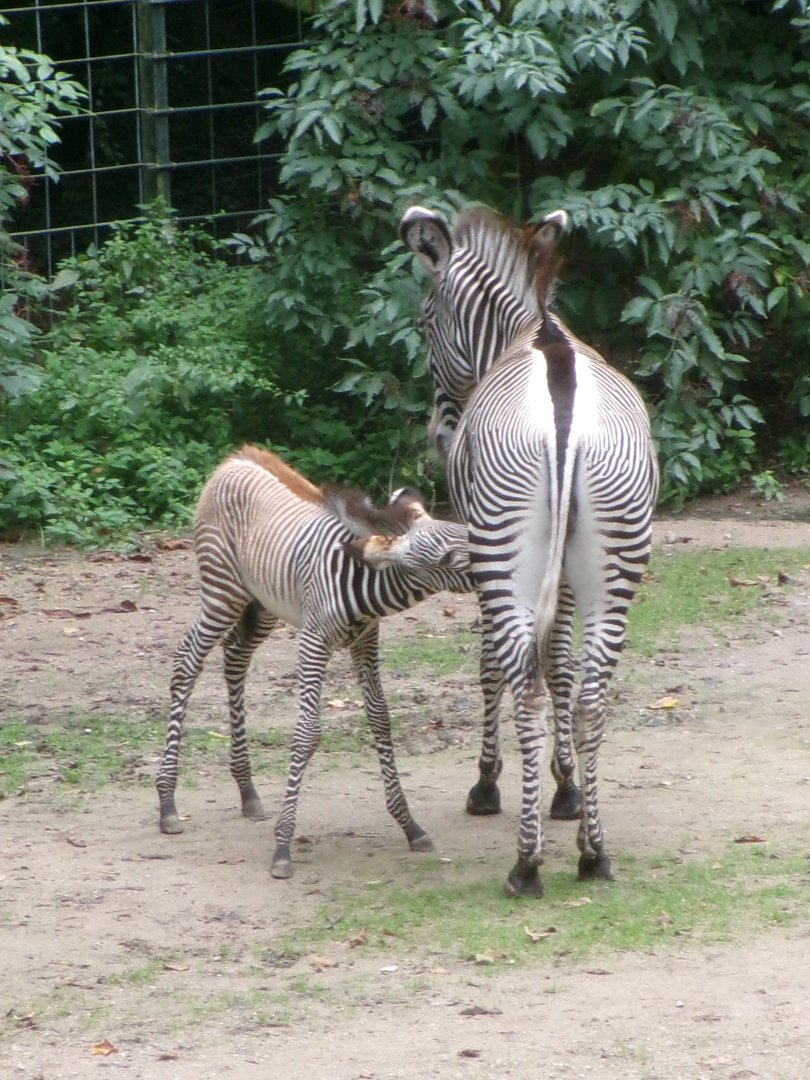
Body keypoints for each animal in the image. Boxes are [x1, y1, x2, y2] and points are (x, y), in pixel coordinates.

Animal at [156, 444, 474, 879]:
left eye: (466, 535)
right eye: (448, 556)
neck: (363, 580)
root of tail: (235, 459)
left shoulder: (366, 642)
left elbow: (380, 719)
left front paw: (410, 825)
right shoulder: (314, 640)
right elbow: (307, 732)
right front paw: (283, 845)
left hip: (263, 604)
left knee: (235, 658)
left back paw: (247, 790)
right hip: (223, 592)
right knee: (187, 661)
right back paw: (167, 802)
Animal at [399, 204, 659, 897]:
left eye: (425, 321)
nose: (439, 432)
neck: (530, 330)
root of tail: (562, 409)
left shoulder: (477, 549)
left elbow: (493, 664)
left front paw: (490, 781)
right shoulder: (563, 575)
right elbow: (562, 662)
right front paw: (567, 788)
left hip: (501, 551)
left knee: (519, 675)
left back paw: (526, 862)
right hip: (614, 556)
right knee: (591, 690)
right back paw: (593, 853)